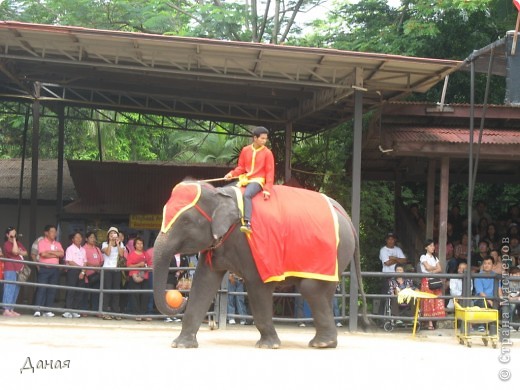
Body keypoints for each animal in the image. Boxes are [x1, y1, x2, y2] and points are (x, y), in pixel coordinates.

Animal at [152, 181, 368, 348]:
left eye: (186, 221)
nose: (180, 297)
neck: (220, 193)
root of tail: (347, 216)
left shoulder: (255, 247)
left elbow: (257, 286)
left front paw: (268, 345)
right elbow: (204, 282)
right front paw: (181, 344)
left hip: (335, 252)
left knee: (311, 288)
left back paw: (323, 343)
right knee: (321, 292)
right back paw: (323, 342)